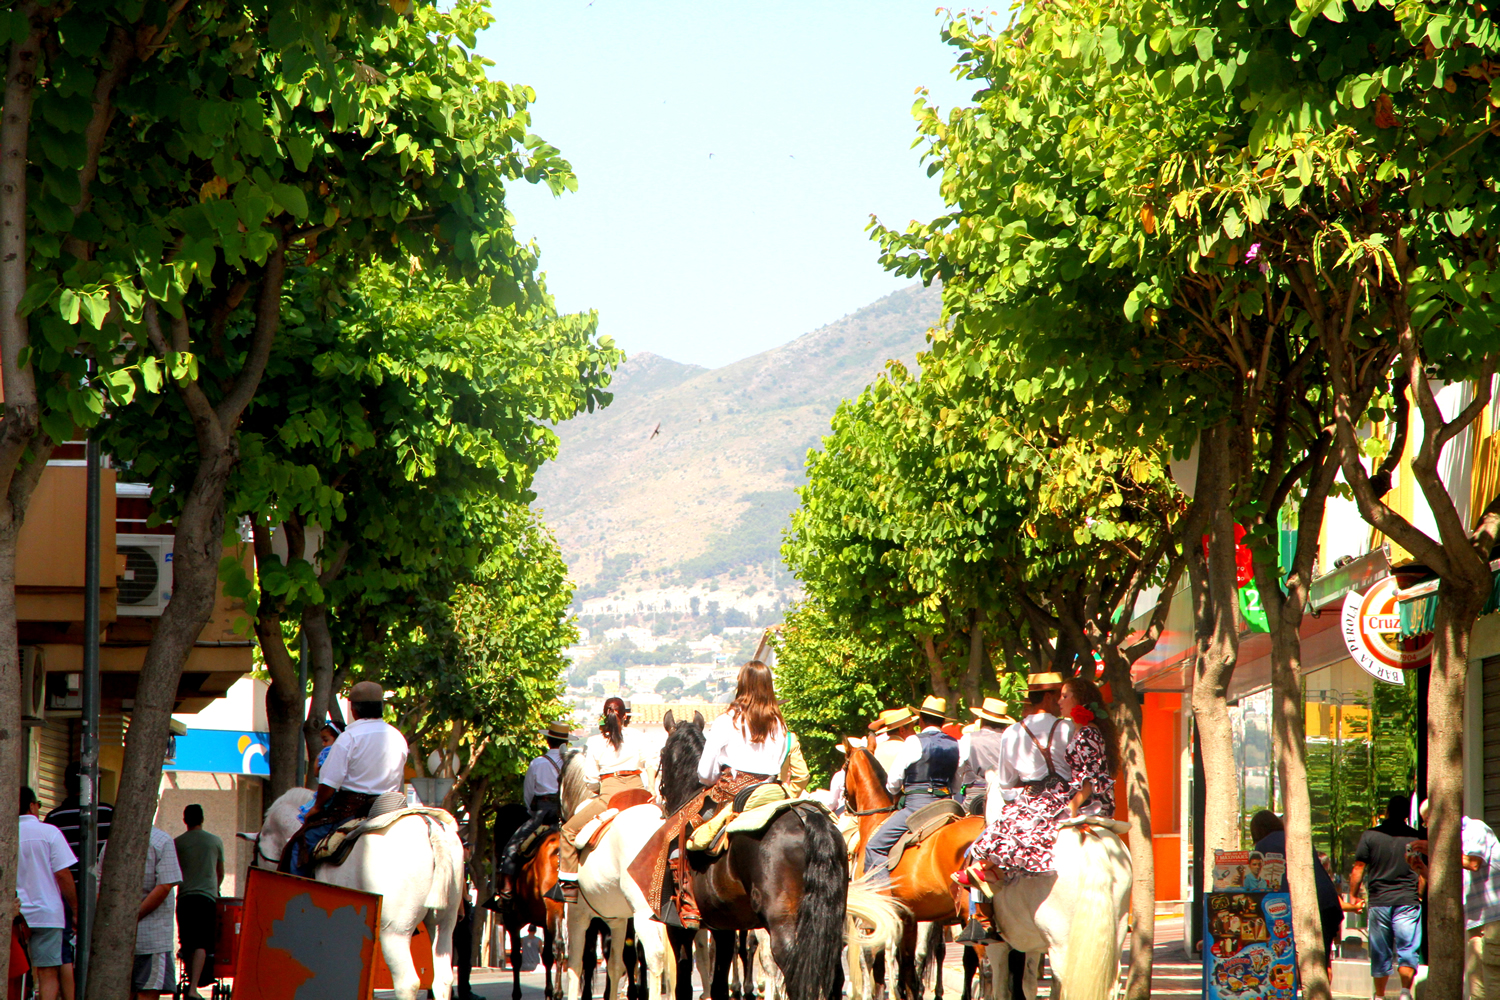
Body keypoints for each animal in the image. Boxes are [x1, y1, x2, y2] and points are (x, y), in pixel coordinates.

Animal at [246, 791, 462, 1000]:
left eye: (257, 849)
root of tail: (430, 827)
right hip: (444, 924)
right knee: (443, 978)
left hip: (395, 931)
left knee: (407, 983)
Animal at [492, 803, 567, 1000]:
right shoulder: (545, 921)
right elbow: (547, 957)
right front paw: (548, 992)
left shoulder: (512, 922)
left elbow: (517, 958)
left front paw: (517, 994)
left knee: (560, 945)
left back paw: (559, 992)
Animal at [657, 722, 846, 1000]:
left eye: (661, 755)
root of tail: (806, 818)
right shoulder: (723, 925)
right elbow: (719, 980)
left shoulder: (679, 928)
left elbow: (684, 983)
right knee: (833, 975)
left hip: (782, 921)